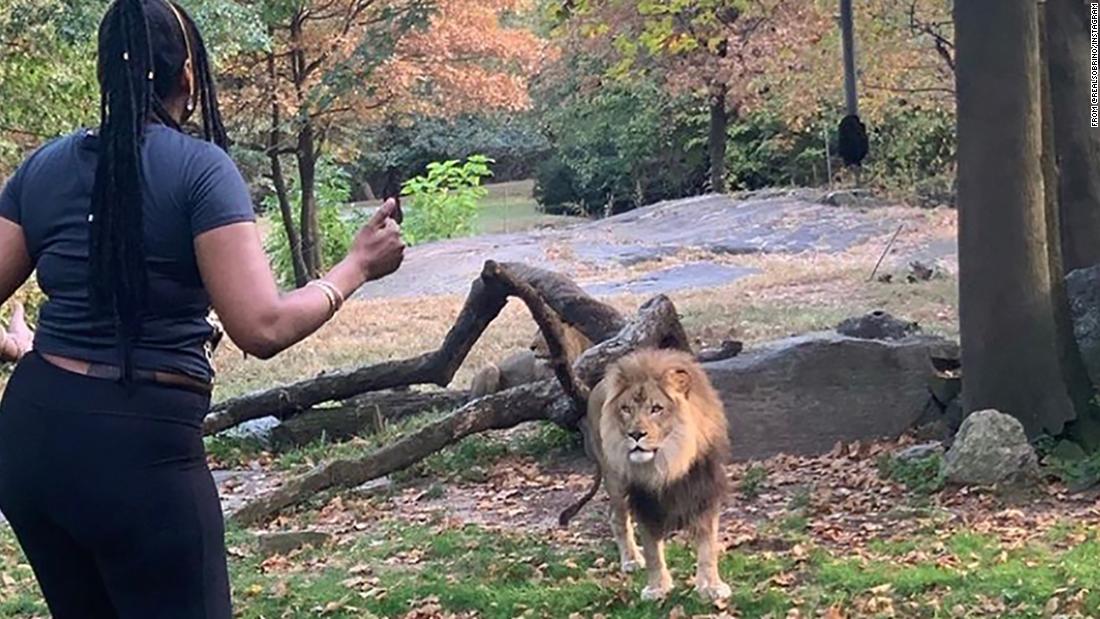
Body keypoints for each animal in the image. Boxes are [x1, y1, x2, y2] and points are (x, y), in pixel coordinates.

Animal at [558, 351, 730, 602]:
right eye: (626, 409)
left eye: (656, 408)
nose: (636, 434)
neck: (669, 461)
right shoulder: (643, 501)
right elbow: (652, 551)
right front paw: (657, 588)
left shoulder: (704, 491)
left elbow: (708, 546)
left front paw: (711, 587)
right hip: (615, 480)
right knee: (617, 518)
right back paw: (631, 559)